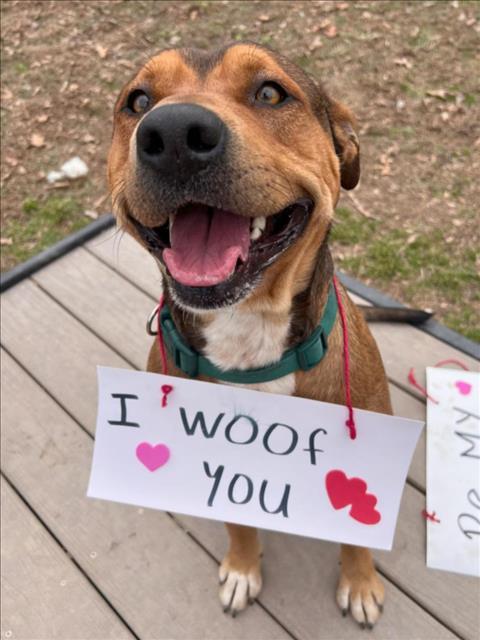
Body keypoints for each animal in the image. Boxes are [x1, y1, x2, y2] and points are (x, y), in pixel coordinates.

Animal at [108, 42, 390, 628]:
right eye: (138, 101)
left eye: (269, 92)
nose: (172, 134)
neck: (250, 334)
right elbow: (237, 519)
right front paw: (242, 568)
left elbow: (358, 531)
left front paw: (359, 582)